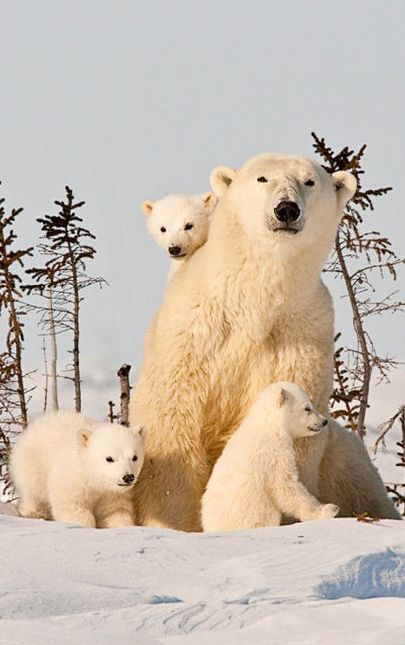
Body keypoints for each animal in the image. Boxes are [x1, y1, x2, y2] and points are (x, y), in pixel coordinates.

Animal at [9, 410, 147, 524]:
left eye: (134, 457)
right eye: (109, 458)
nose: (128, 477)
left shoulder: (112, 494)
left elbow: (115, 512)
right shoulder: (71, 482)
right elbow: (74, 508)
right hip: (32, 466)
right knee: (33, 494)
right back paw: (33, 513)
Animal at [201, 384, 338, 532]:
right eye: (307, 407)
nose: (324, 421)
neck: (269, 426)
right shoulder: (275, 454)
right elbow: (285, 486)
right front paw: (329, 509)